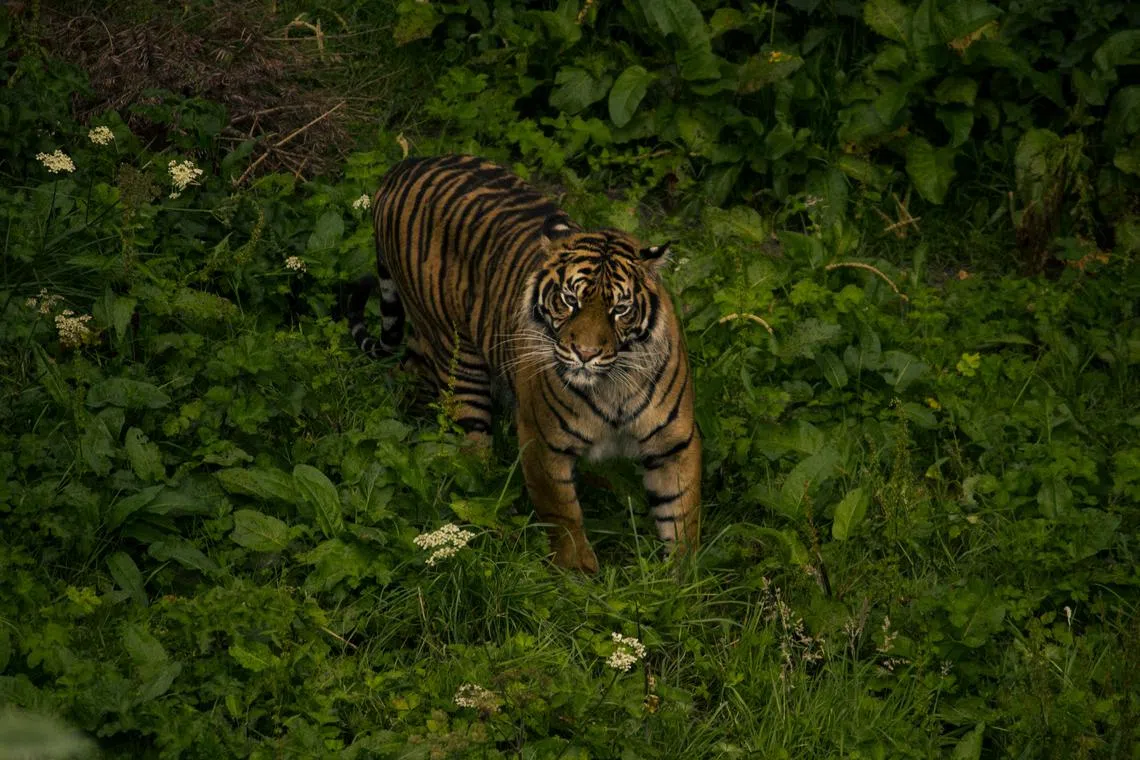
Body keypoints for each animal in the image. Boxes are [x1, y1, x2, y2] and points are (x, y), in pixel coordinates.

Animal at [346, 154, 700, 572]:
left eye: (620, 309)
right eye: (569, 300)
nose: (586, 353)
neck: (612, 385)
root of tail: (404, 166)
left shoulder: (675, 443)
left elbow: (682, 517)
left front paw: (683, 579)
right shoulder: (543, 440)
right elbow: (563, 516)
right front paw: (579, 575)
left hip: (425, 341)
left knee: (406, 374)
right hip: (457, 357)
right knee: (472, 456)